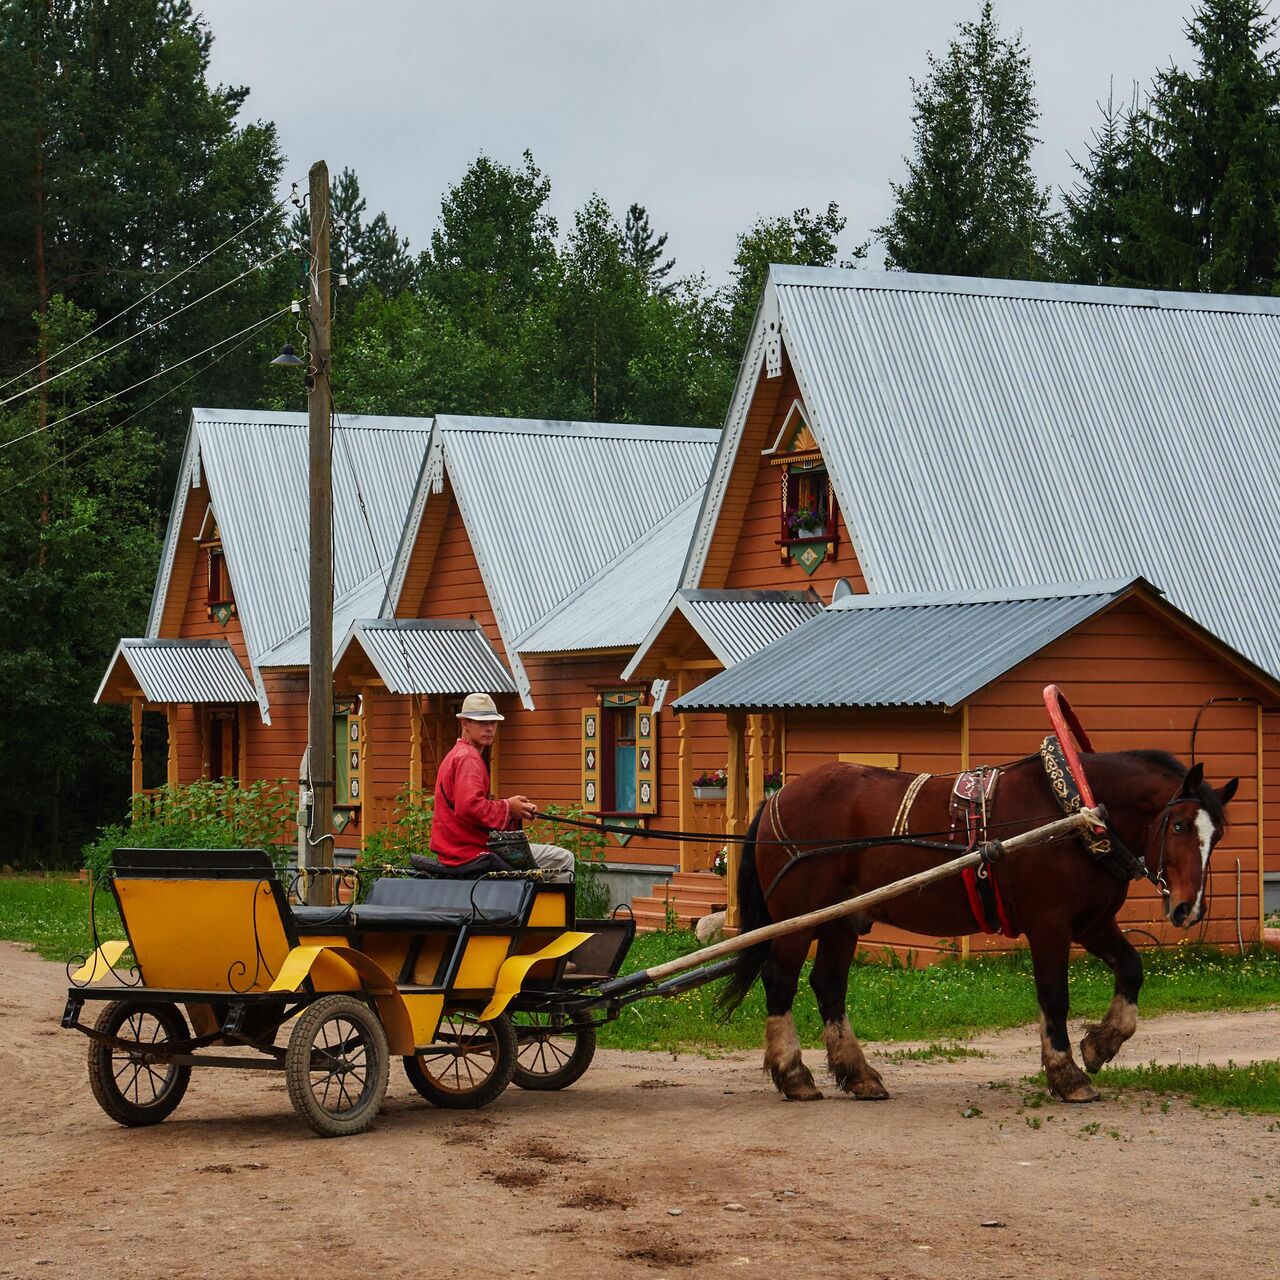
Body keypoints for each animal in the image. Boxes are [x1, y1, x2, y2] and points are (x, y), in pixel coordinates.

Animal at [716, 747, 1233, 1100]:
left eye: (1218, 835)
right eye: (1180, 826)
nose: (1187, 909)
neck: (1072, 815)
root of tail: (780, 795)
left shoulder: (1091, 922)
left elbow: (1131, 969)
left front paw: (1100, 1046)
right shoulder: (1050, 923)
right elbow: (1054, 996)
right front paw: (1066, 1074)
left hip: (841, 920)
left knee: (828, 985)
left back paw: (858, 1075)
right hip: (795, 918)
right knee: (780, 981)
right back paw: (793, 1076)